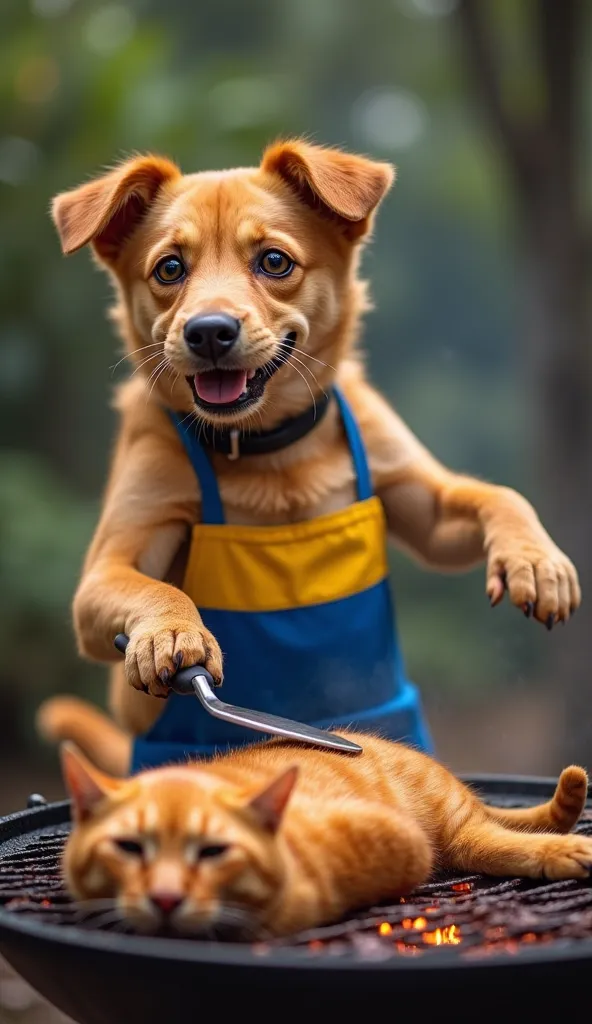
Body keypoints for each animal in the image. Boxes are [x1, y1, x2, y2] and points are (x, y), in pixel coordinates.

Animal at [45, 138, 577, 774]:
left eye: (274, 262)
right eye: (169, 269)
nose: (208, 331)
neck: (267, 449)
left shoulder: (425, 508)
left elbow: (500, 495)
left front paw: (535, 560)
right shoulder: (103, 573)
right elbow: (156, 588)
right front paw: (171, 631)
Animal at [51, 708, 589, 937]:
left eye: (212, 849)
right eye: (128, 848)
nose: (166, 897)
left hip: (457, 829)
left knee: (507, 840)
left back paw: (564, 850)